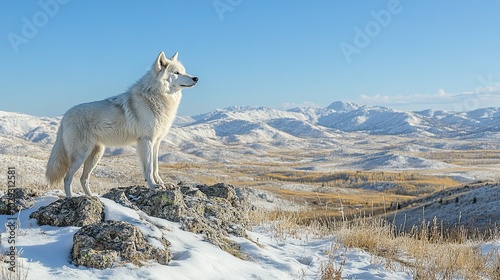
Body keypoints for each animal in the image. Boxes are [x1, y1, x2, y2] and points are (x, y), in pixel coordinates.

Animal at [45, 51, 197, 198]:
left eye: (184, 71)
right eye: (176, 72)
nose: (196, 78)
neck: (156, 97)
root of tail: (64, 116)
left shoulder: (156, 142)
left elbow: (155, 167)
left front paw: (162, 184)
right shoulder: (146, 140)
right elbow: (148, 168)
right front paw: (154, 186)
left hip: (95, 155)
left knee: (83, 179)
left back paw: (92, 198)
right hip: (81, 155)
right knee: (67, 178)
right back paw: (71, 199)